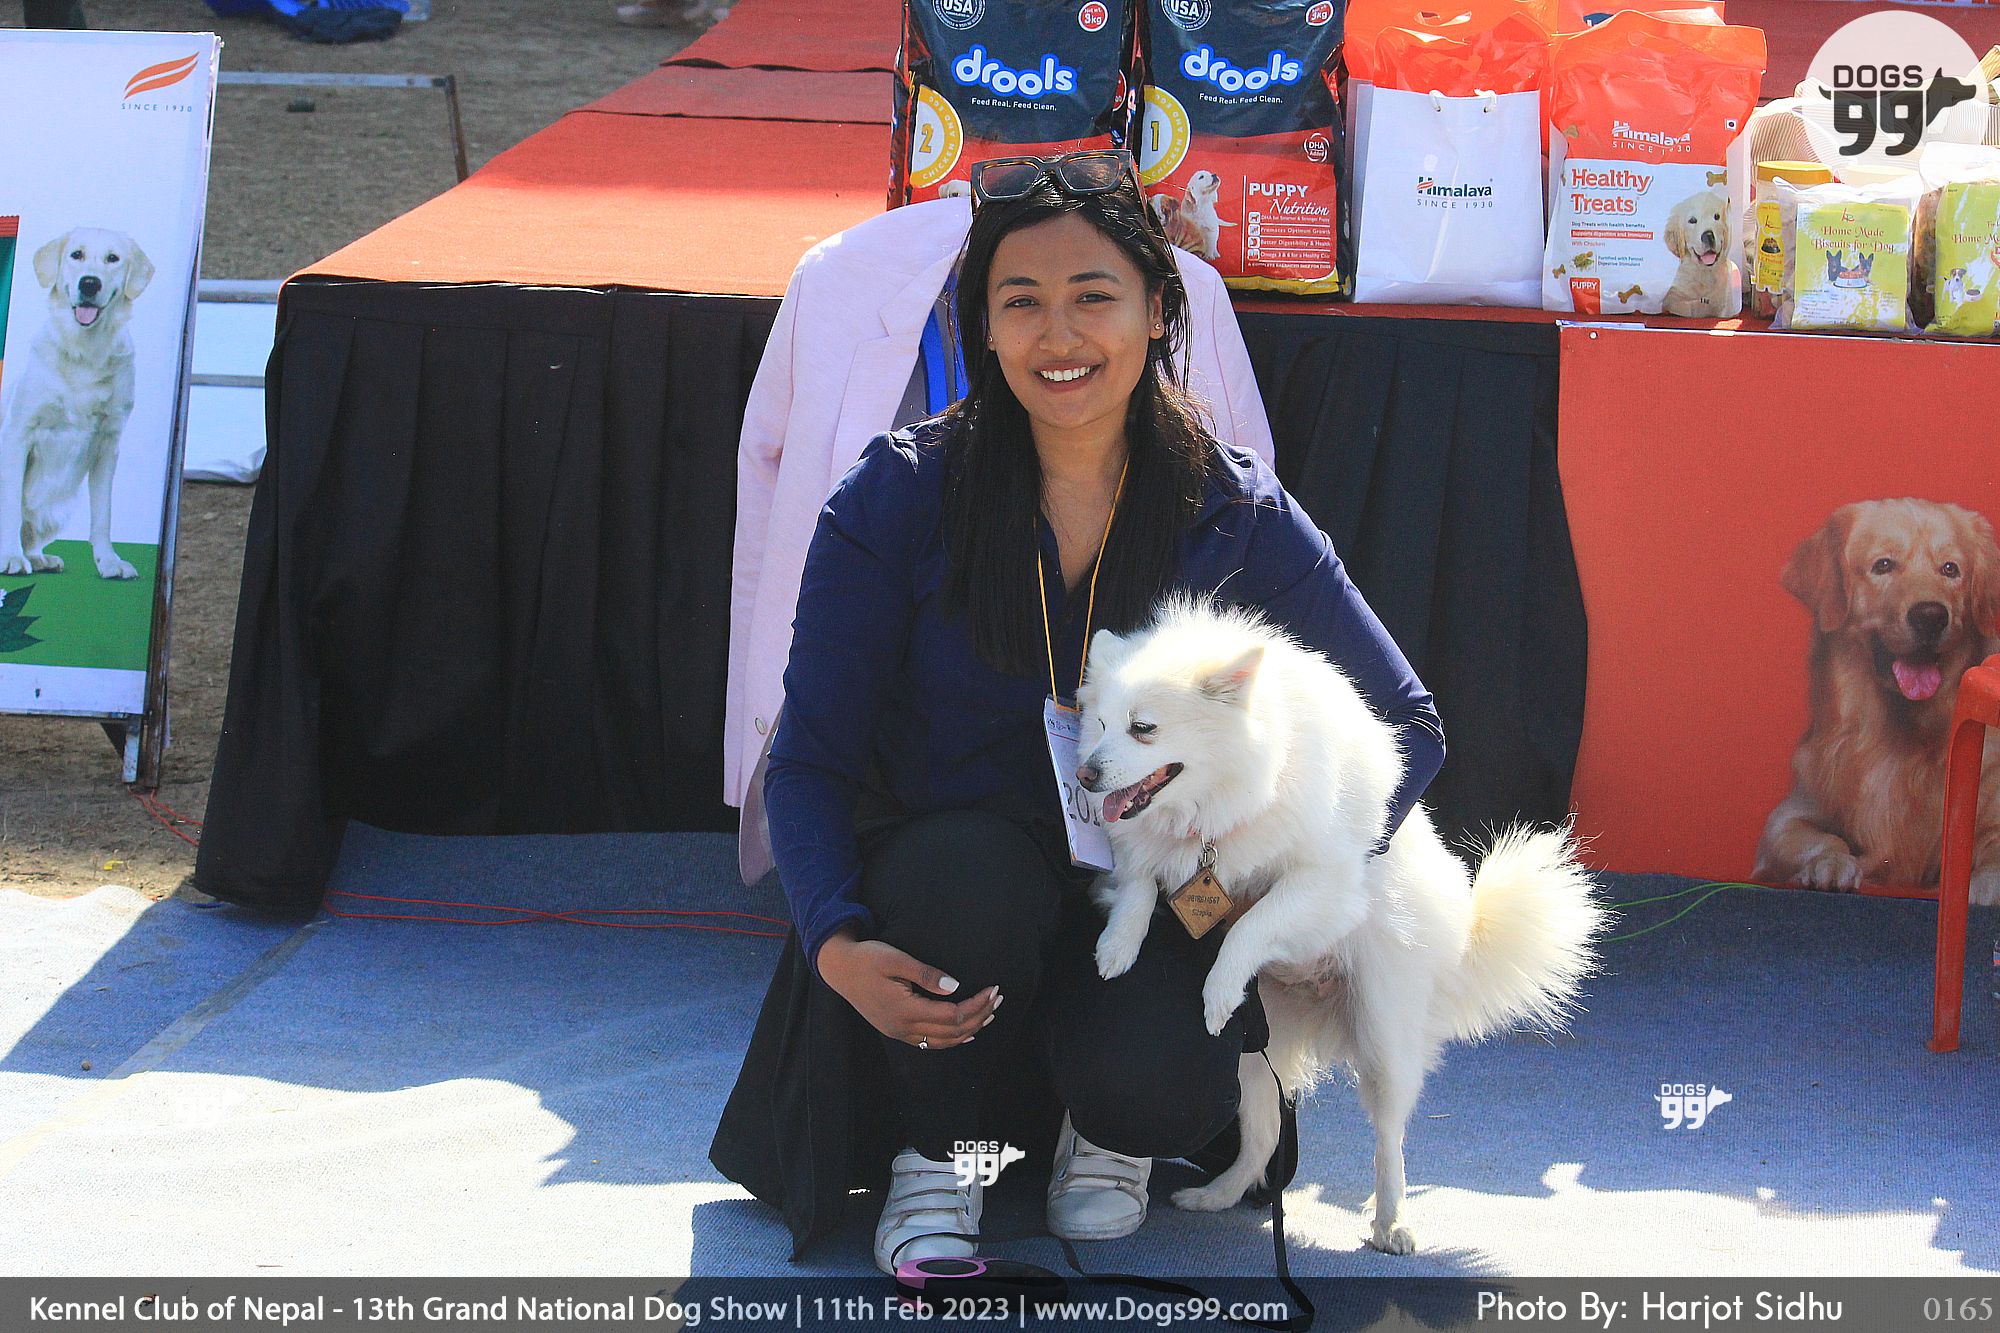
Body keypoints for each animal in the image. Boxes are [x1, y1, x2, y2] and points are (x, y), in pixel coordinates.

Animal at [0, 226, 154, 579]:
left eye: (113, 258)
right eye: (76, 254)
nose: (90, 283)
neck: (84, 352)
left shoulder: (108, 445)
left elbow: (103, 515)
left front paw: (109, 561)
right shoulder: (18, 434)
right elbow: (10, 506)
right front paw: (11, 556)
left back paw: (40, 558)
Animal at [1076, 598, 1605, 1253]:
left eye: (1143, 729)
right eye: (1098, 723)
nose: (1086, 775)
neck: (1229, 793)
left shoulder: (1323, 885)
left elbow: (1254, 924)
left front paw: (1219, 986)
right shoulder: (1149, 852)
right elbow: (1140, 881)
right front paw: (1119, 945)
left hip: (1382, 1040)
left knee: (1388, 1139)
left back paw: (1391, 1221)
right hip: (1252, 1055)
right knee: (1263, 1135)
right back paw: (1217, 1195)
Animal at [1754, 499, 2000, 904]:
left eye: (1950, 569)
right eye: (1883, 565)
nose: (1931, 615)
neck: (1902, 739)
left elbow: (1988, 865)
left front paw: (1977, 890)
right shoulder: (1787, 816)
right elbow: (1823, 838)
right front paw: (1831, 864)